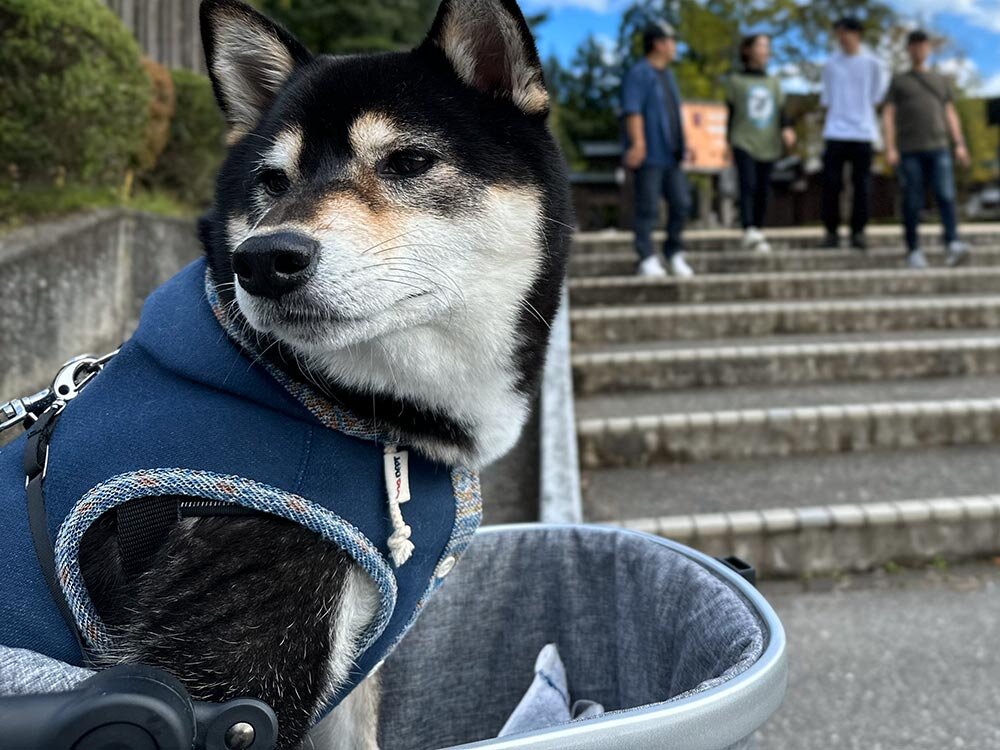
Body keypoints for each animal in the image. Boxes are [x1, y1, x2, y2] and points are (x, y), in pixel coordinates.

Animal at [72, 1, 572, 750]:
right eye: (273, 182)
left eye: (409, 161)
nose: (262, 260)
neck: (327, 401)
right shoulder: (229, 668)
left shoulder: (345, 676)